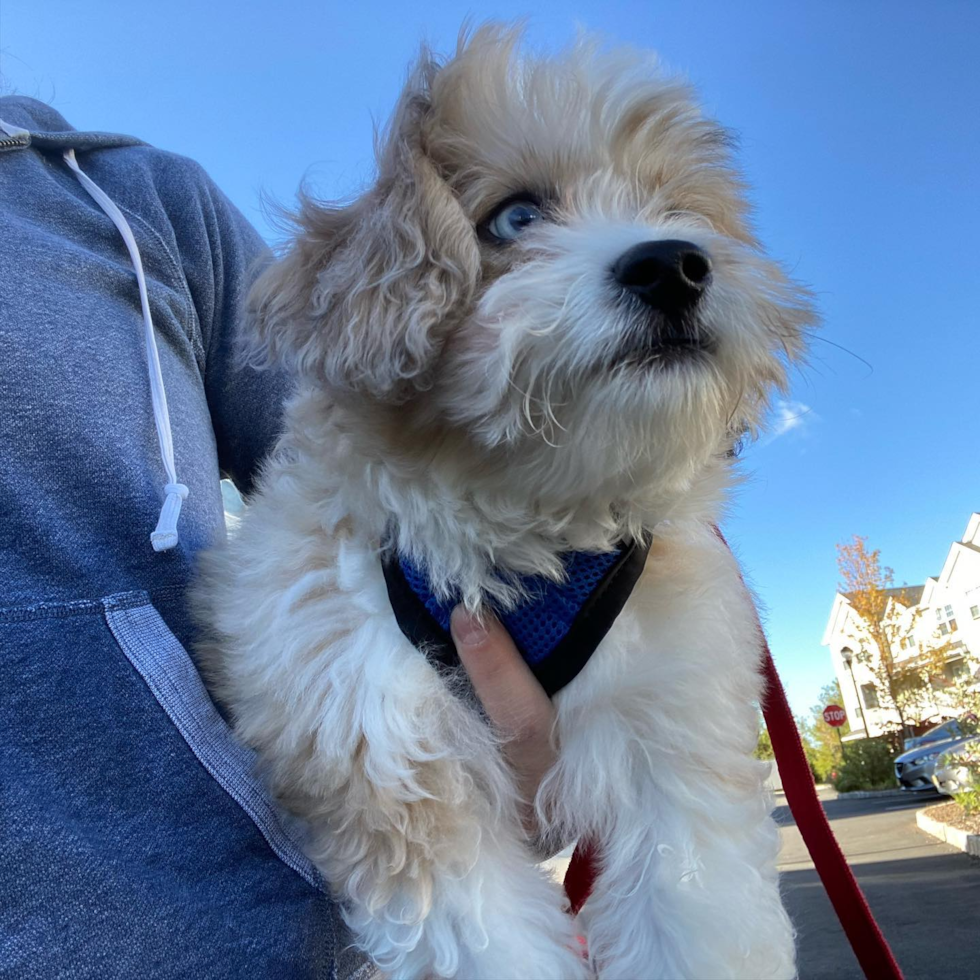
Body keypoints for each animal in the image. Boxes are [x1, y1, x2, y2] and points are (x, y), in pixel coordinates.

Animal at [195, 26, 816, 980]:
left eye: (673, 207)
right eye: (518, 217)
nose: (672, 264)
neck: (525, 518)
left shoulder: (674, 733)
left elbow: (694, 918)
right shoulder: (383, 745)